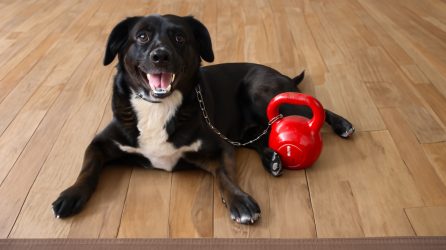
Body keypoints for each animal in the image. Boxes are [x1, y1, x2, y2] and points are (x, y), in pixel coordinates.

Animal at [52, 14, 354, 225]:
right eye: (142, 37)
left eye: (179, 38)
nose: (160, 56)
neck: (159, 107)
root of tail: (281, 74)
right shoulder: (99, 143)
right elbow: (87, 169)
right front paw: (71, 195)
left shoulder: (220, 147)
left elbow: (224, 175)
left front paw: (240, 201)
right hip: (249, 129)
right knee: (260, 138)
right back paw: (272, 159)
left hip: (261, 92)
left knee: (314, 108)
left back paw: (342, 125)